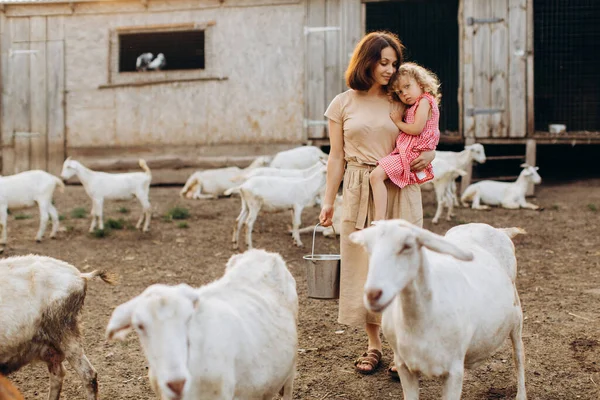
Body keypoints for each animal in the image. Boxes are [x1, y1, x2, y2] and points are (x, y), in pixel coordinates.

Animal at [350, 219, 528, 400]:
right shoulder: (404, 366)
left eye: (407, 245)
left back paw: (521, 394)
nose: (373, 294)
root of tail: (499, 230)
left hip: (517, 314)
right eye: (368, 247)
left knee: (518, 354)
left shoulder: (454, 371)